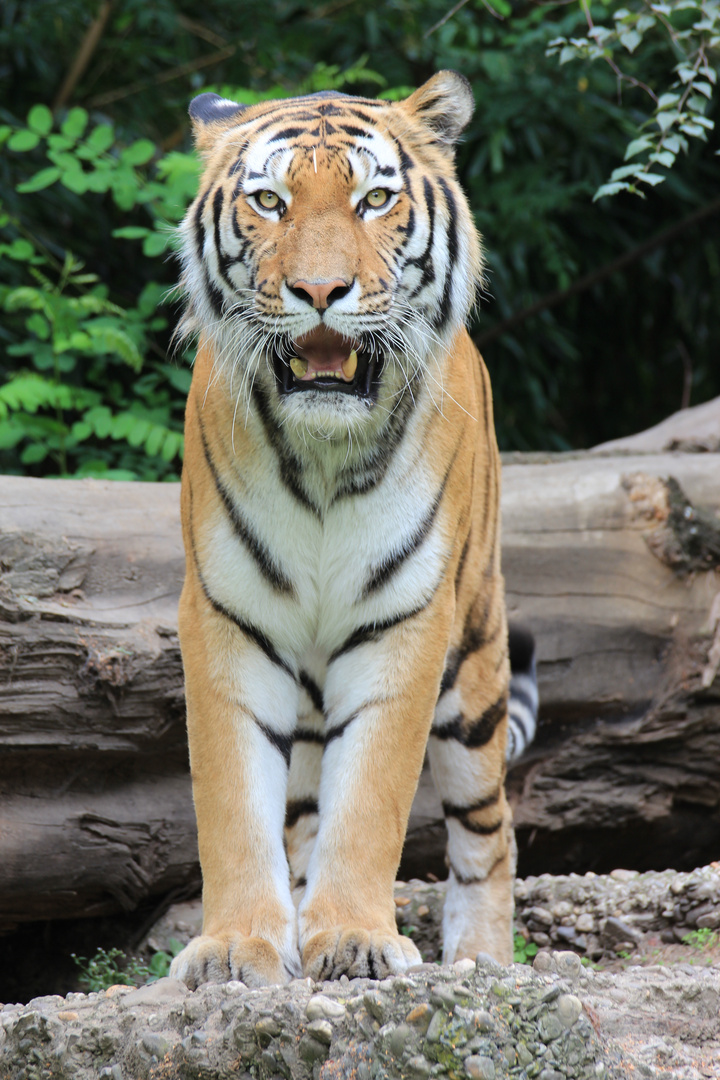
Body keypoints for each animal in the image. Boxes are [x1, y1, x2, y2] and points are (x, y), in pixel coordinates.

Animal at [170, 71, 535, 989]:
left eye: (375, 199)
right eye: (269, 201)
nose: (320, 292)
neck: (323, 459)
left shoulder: (407, 619)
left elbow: (370, 796)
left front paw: (358, 942)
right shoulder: (227, 616)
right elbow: (233, 798)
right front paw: (238, 947)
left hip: (476, 668)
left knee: (489, 831)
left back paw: (482, 961)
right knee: (300, 812)